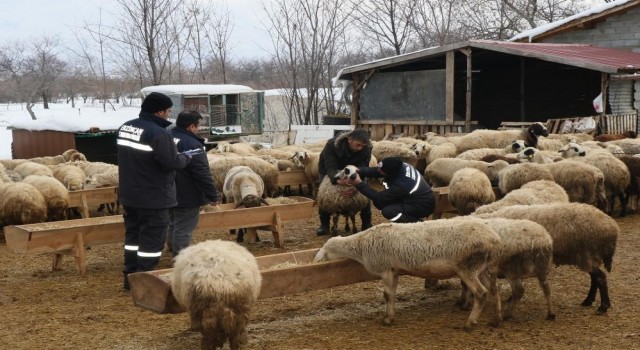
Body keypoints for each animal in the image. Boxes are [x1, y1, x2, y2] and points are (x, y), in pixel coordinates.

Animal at [312, 217, 502, 330]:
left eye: (325, 251)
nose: (316, 261)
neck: (361, 245)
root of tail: (494, 239)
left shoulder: (386, 270)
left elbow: (387, 295)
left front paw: (387, 319)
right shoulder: (394, 271)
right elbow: (392, 295)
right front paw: (390, 315)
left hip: (467, 267)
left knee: (481, 293)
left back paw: (470, 323)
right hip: (482, 268)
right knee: (494, 289)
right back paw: (497, 319)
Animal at [472, 202, 616, 314]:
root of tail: (612, 227)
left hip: (586, 254)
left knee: (600, 277)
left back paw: (603, 307)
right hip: (588, 256)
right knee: (595, 278)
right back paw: (588, 301)